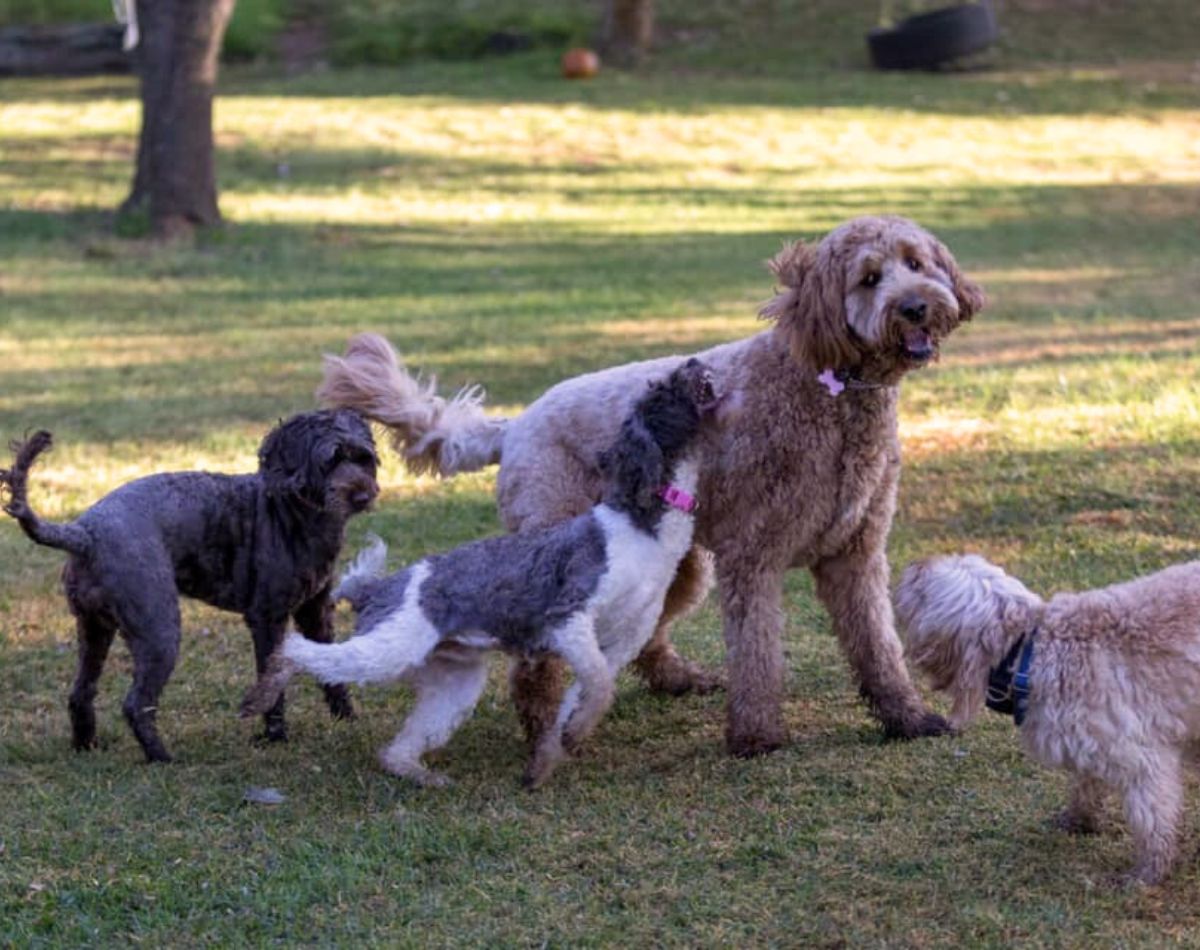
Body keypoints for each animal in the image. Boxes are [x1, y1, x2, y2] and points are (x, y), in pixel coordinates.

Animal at [243, 359, 729, 791]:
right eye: (663, 390)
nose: (692, 360)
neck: (638, 526)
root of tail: (378, 586)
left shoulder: (620, 642)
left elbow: (590, 692)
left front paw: (551, 754)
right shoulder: (568, 621)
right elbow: (597, 684)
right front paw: (563, 741)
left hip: (454, 683)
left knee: (395, 750)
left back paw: (421, 775)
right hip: (388, 650)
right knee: (298, 651)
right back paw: (264, 694)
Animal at [319, 214, 984, 758]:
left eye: (917, 264)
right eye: (870, 278)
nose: (917, 307)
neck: (831, 388)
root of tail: (514, 427)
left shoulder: (856, 554)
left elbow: (878, 645)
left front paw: (907, 717)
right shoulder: (754, 557)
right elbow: (758, 652)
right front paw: (757, 737)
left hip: (671, 564)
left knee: (642, 635)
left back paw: (674, 680)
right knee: (538, 658)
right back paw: (542, 726)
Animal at [897, 551, 1200, 887]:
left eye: (923, 586)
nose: (917, 563)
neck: (1032, 656)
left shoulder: (1141, 759)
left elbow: (1153, 819)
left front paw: (1149, 871)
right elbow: (1086, 786)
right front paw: (1078, 820)